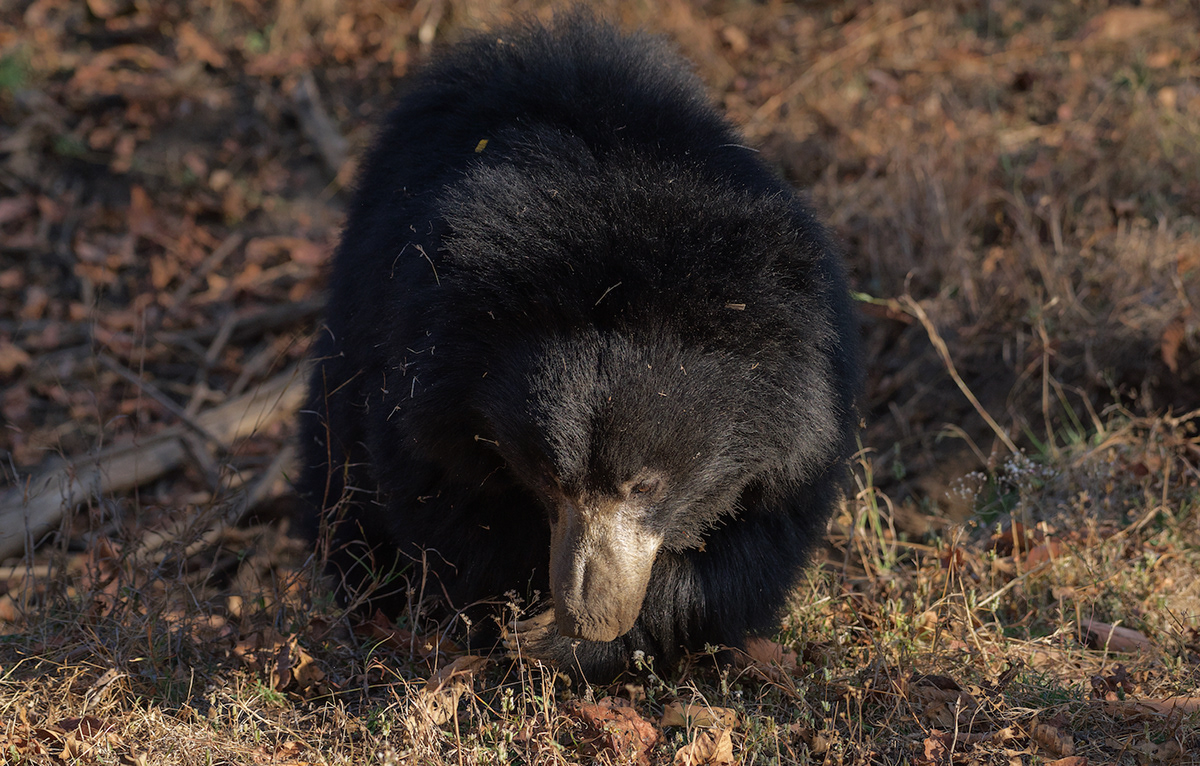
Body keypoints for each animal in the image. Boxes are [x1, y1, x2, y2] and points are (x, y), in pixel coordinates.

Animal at [300, 13, 864, 681]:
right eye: (548, 479)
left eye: (645, 486)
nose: (589, 613)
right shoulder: (424, 372)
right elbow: (442, 497)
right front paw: (527, 630)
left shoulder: (801, 401)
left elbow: (765, 526)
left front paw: (575, 640)